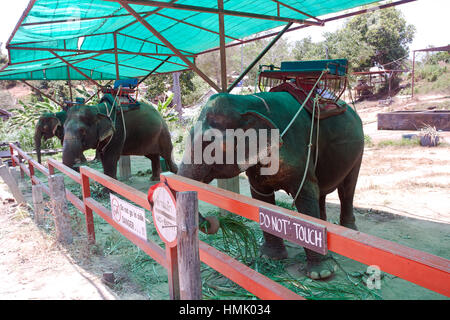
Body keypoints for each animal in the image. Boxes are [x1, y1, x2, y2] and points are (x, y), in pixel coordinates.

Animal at [178, 92, 364, 280]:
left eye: (211, 146)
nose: (213, 221)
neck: (247, 101)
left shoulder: (298, 152)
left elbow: (305, 193)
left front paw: (321, 274)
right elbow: (262, 198)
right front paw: (270, 257)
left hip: (358, 152)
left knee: (347, 189)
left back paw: (348, 233)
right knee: (321, 193)